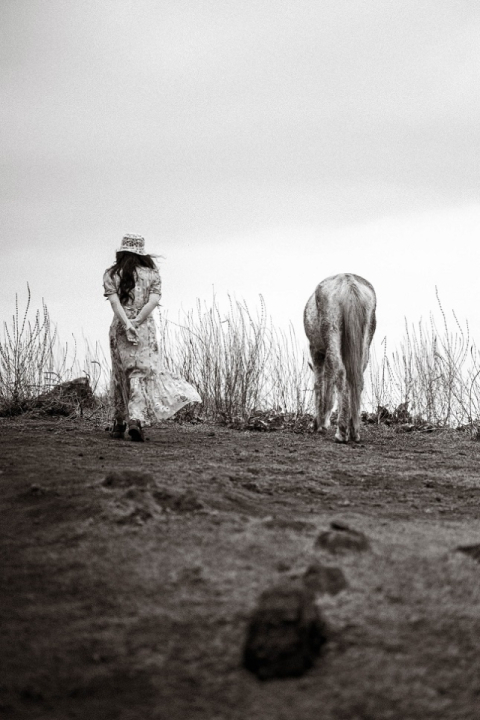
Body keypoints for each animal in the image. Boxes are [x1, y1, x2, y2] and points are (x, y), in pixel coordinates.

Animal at [306, 274, 376, 442]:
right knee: (356, 379)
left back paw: (341, 433)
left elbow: (319, 384)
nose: (320, 423)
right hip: (364, 342)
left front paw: (319, 424)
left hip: (331, 334)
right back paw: (354, 431)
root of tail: (348, 282)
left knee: (341, 376)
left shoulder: (316, 350)